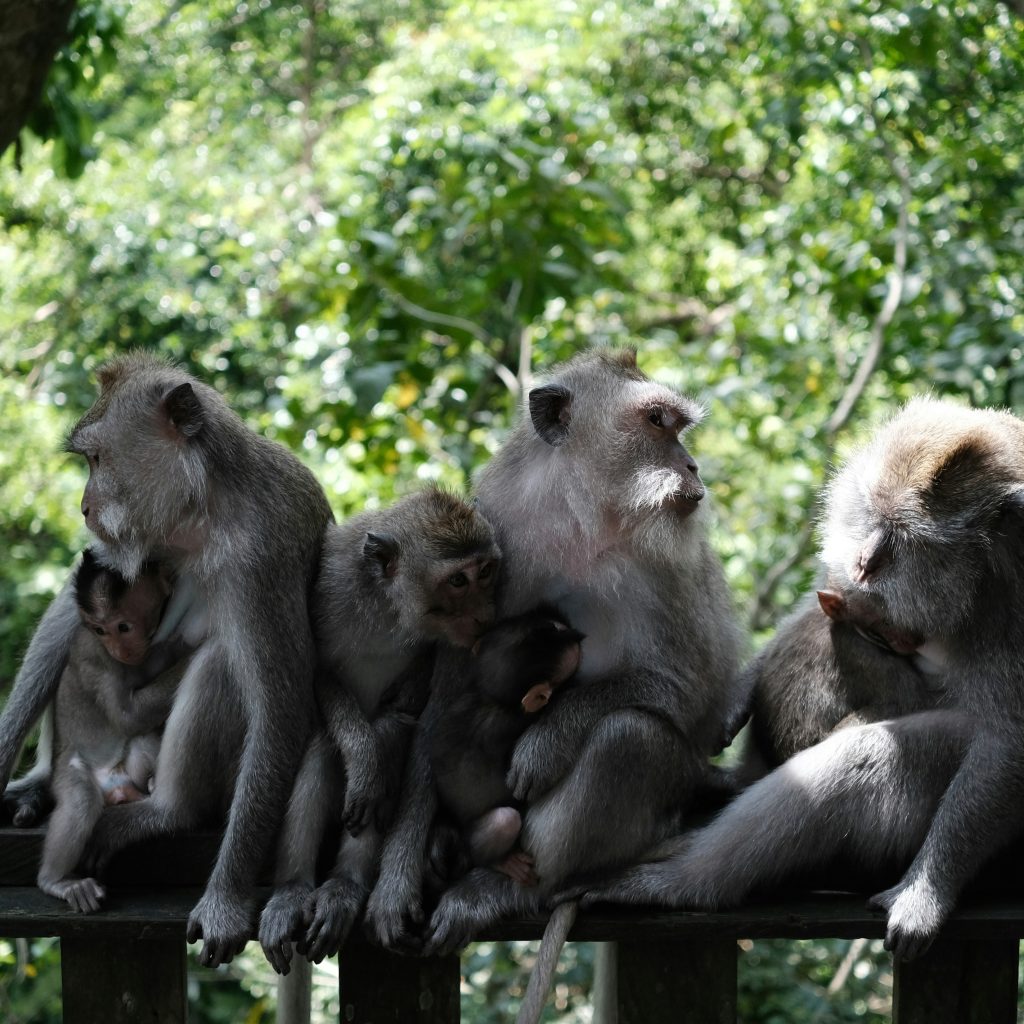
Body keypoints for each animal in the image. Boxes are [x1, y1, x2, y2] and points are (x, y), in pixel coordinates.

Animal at [38, 551, 191, 911]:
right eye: (100, 630)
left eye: (123, 627)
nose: (119, 649)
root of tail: (114, 788)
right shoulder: (95, 655)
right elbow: (126, 717)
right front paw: (189, 650)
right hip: (69, 771)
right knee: (81, 801)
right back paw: (55, 881)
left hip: (125, 774)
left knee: (141, 742)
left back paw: (149, 787)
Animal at [258, 488, 501, 975]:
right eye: (458, 581)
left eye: (486, 572)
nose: (486, 615)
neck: (389, 608)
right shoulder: (331, 584)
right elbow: (322, 673)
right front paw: (363, 756)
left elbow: (413, 712)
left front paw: (395, 713)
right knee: (324, 747)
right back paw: (292, 892)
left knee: (390, 745)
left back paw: (344, 887)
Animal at [429, 609, 584, 884]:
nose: (572, 630)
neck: (491, 699)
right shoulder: (517, 719)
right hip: (476, 839)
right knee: (504, 820)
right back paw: (501, 861)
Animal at [571, 397, 1024, 960]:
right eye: (872, 513)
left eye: (905, 534)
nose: (866, 559)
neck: (986, 576)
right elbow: (826, 598)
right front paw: (741, 691)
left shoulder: (1006, 608)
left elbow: (1007, 745)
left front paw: (927, 892)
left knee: (873, 753)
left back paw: (686, 884)